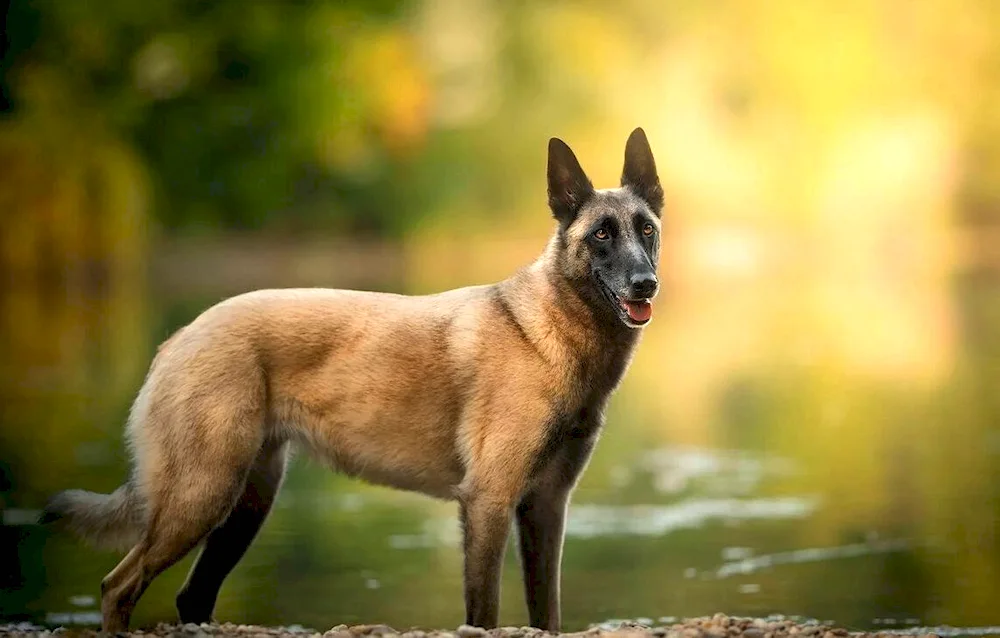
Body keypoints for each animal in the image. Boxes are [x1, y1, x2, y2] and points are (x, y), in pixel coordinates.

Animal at [41, 129, 664, 636]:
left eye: (646, 230)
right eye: (601, 235)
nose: (646, 283)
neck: (549, 331)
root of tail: (181, 336)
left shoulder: (545, 508)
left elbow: (546, 614)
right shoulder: (488, 503)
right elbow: (484, 613)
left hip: (245, 503)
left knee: (192, 596)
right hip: (202, 495)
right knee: (118, 586)